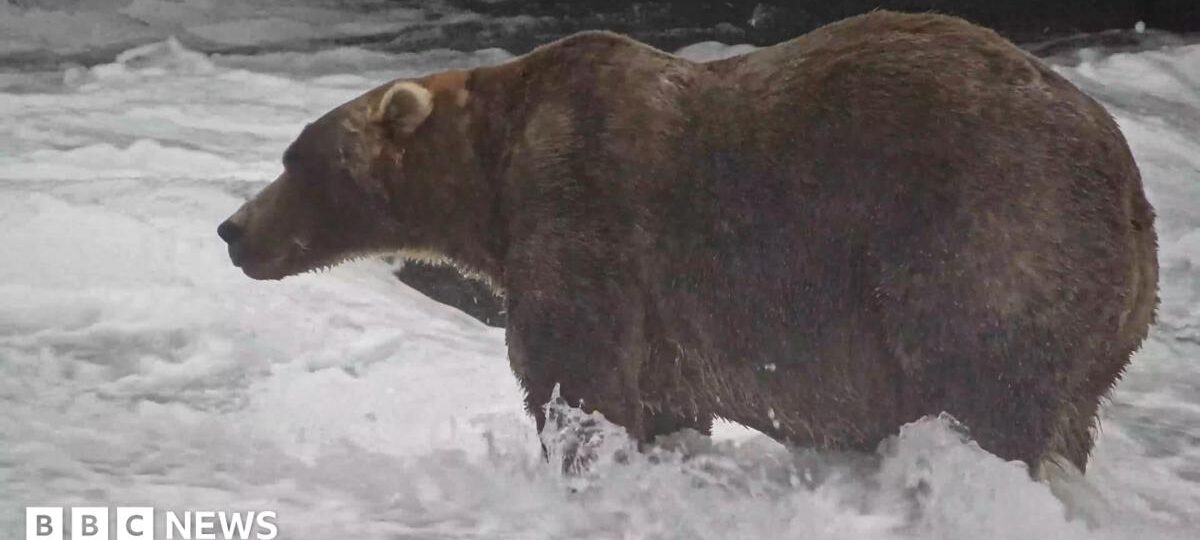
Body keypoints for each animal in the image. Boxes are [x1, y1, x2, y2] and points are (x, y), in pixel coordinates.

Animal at [217, 11, 1158, 475]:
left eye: (295, 159)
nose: (232, 230)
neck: (490, 176)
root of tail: (1130, 185)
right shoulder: (666, 316)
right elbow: (664, 398)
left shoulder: (584, 208)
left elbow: (574, 373)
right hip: (1105, 325)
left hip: (984, 235)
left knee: (984, 387)